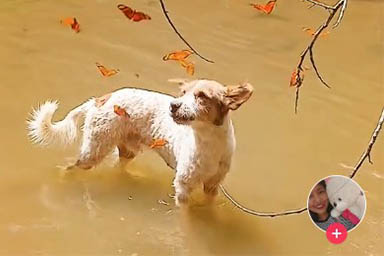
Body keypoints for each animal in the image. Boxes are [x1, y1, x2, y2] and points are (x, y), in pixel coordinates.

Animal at [28, 79, 254, 205]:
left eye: (202, 96)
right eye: (183, 93)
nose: (173, 105)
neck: (208, 143)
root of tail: (100, 99)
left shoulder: (212, 185)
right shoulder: (183, 186)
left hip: (127, 150)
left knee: (118, 167)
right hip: (93, 151)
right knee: (69, 167)